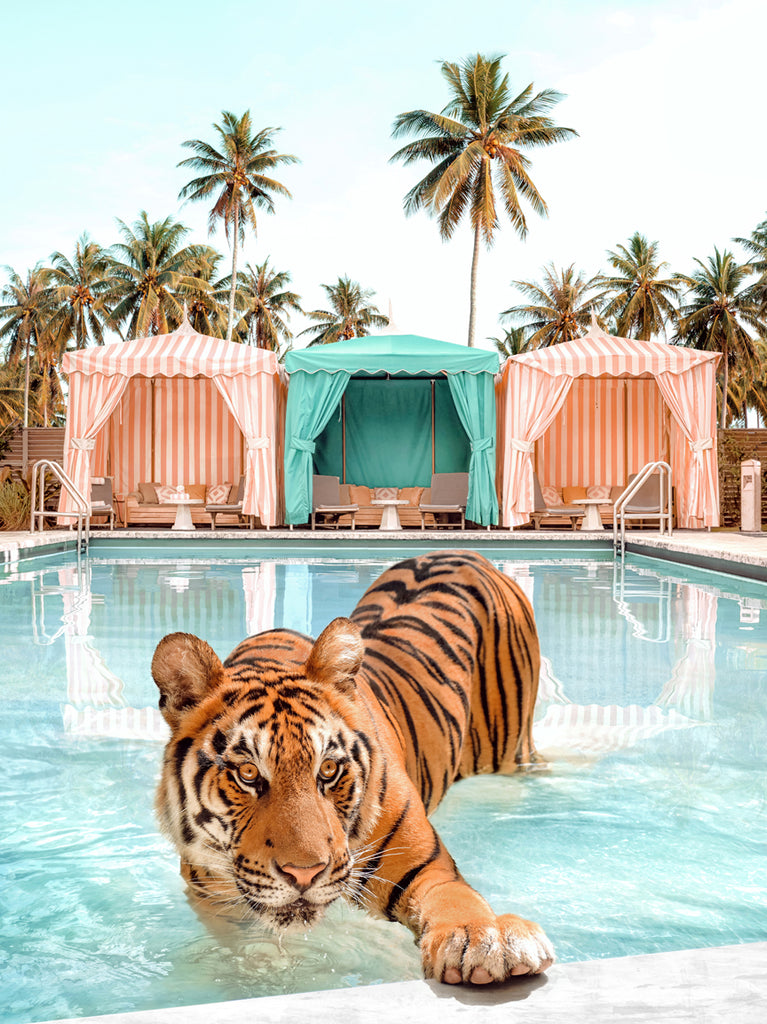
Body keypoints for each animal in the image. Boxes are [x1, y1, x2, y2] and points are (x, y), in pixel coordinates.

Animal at [151, 549, 554, 985]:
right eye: (248, 774)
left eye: (328, 770)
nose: (304, 875)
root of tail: (463, 552)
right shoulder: (216, 900)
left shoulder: (428, 867)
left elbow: (455, 899)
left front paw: (483, 939)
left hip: (512, 749)